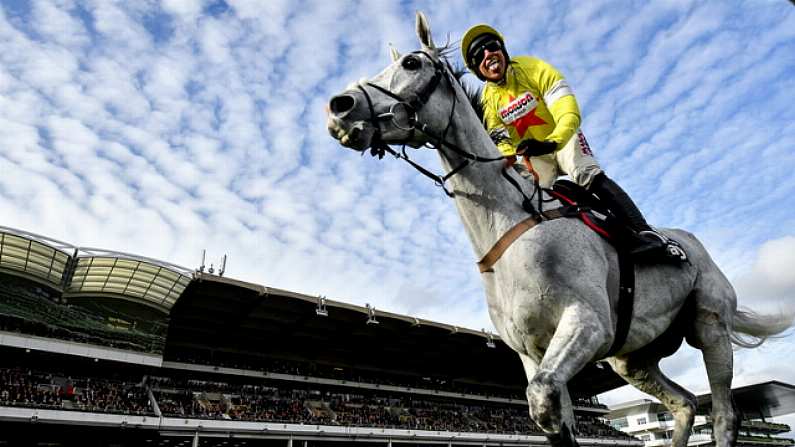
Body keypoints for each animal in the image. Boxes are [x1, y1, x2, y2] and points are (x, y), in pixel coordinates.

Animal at [324, 11, 788, 447]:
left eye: (411, 62)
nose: (339, 107)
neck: (513, 225)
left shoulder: (587, 324)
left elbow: (543, 398)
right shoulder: (533, 352)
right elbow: (551, 417)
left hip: (710, 325)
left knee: (723, 413)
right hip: (632, 358)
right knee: (686, 404)